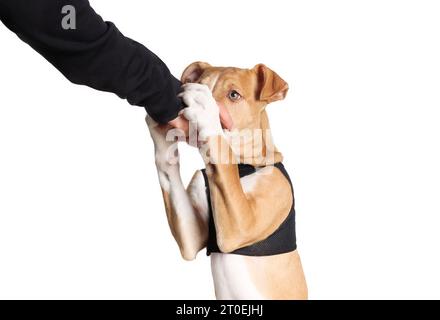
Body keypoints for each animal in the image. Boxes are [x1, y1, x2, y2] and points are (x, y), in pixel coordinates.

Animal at [146, 63, 308, 300]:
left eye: (233, 94)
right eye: (200, 84)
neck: (242, 167)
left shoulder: (242, 226)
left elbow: (223, 155)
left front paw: (205, 111)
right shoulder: (191, 239)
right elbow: (167, 167)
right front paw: (160, 130)